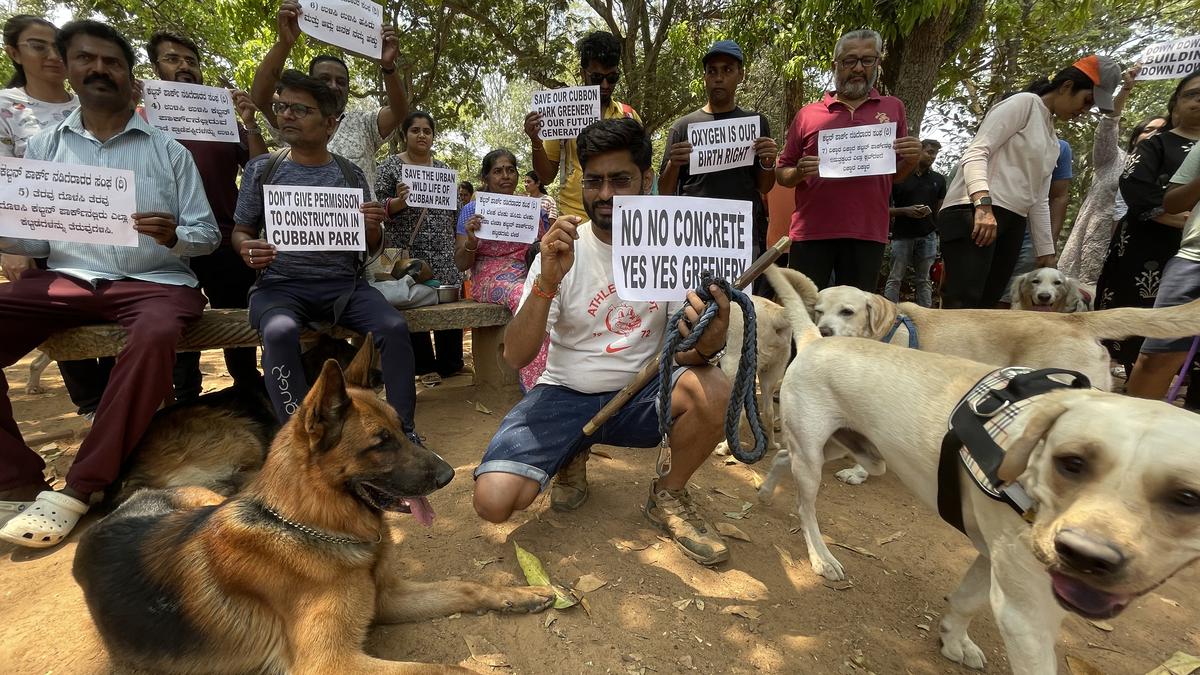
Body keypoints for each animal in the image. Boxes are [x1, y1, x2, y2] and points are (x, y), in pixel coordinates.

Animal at [77, 343, 554, 667]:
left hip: (204, 498)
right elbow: (440, 670)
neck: (308, 526)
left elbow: (463, 586)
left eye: (404, 429)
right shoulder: (333, 663)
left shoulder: (387, 599)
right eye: (380, 443)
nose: (450, 475)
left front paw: (519, 594)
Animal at [763, 264, 1200, 672]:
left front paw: (955, 641)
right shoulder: (1025, 612)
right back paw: (821, 557)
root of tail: (814, 339)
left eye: (1187, 498)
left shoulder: (995, 561)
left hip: (846, 448)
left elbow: (967, 601)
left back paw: (767, 491)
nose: (1088, 557)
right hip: (816, 456)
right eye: (1072, 463)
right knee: (805, 507)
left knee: (787, 459)